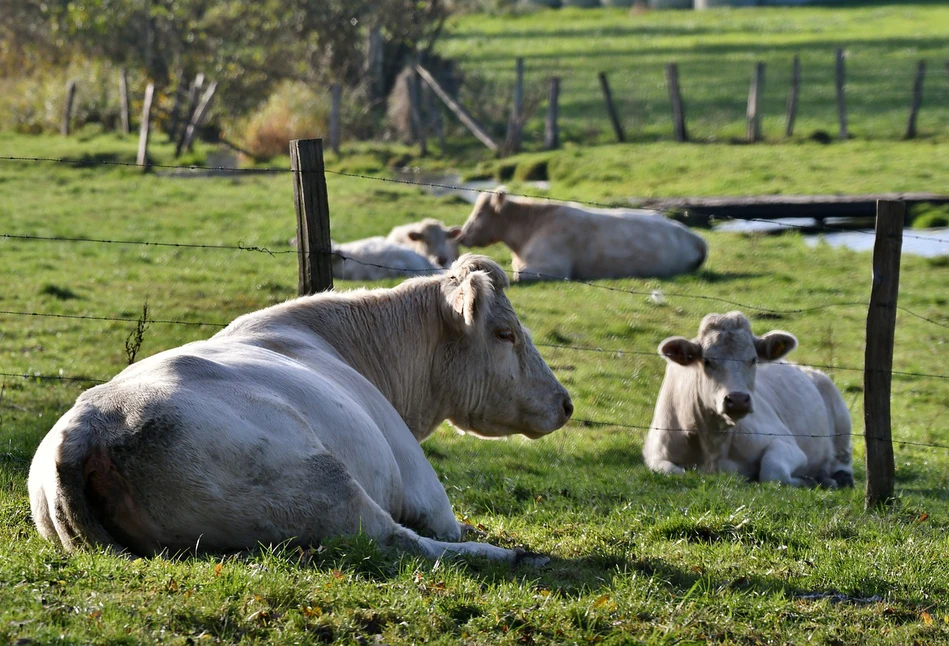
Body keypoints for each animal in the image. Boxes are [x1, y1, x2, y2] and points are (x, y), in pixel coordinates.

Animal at [29, 256, 572, 564]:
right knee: (398, 542)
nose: (565, 404)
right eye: (505, 333)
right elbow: (443, 527)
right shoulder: (426, 494)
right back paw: (506, 554)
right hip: (324, 485)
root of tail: (88, 426)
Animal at [644, 314, 852, 492]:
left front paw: (807, 481)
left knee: (842, 463)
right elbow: (676, 472)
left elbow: (772, 471)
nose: (737, 400)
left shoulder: (787, 443)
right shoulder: (655, 454)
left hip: (841, 420)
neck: (713, 444)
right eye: (707, 361)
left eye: (753, 359)